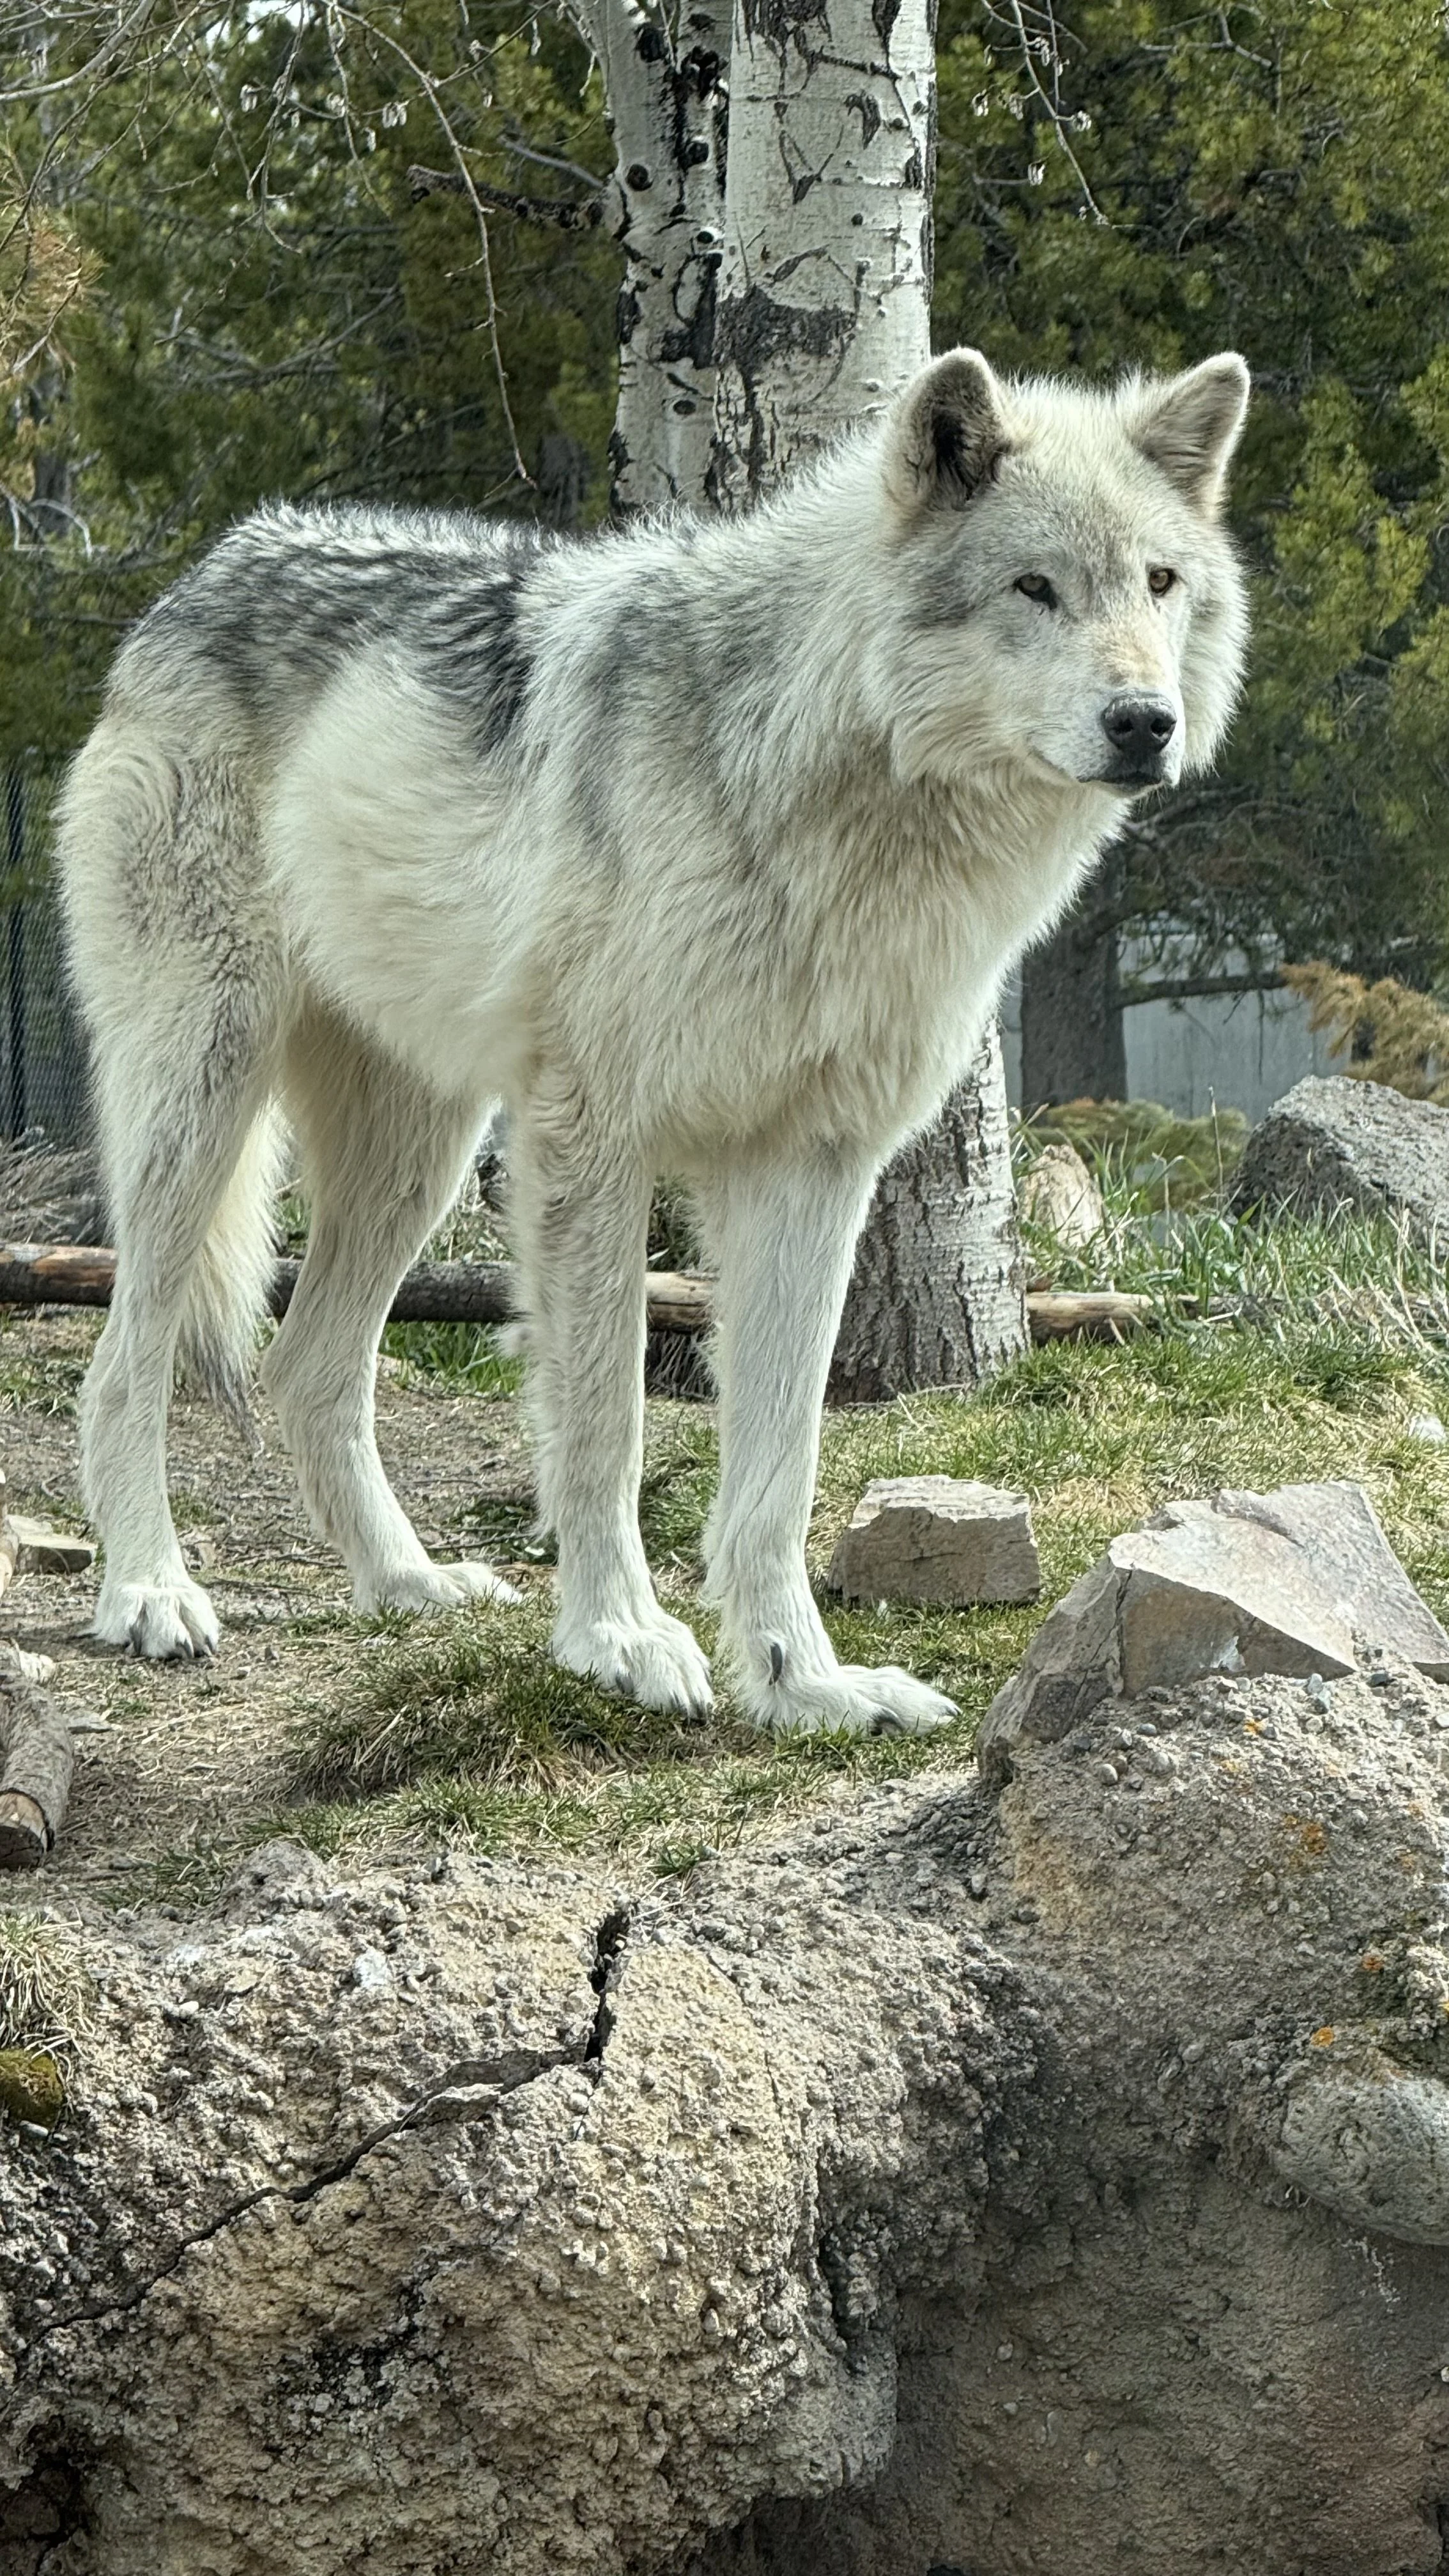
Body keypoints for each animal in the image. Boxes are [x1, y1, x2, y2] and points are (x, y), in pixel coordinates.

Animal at [57, 345, 1249, 1734]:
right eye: (1033, 588)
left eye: (1159, 583)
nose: (1144, 722)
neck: (824, 794)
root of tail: (207, 568)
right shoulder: (594, 1141)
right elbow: (602, 1428)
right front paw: (621, 1639)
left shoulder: (813, 1168)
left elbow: (780, 1464)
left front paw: (801, 1680)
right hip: (206, 1101)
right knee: (123, 1366)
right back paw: (149, 1591)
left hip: (420, 1155)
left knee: (308, 1368)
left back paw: (407, 1584)